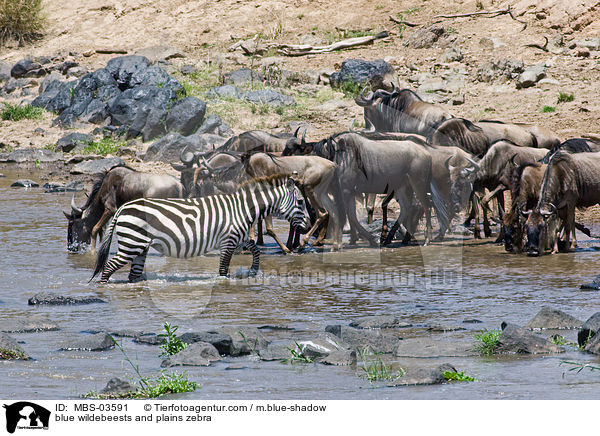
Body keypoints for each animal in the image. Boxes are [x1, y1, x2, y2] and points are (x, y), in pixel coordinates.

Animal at [94, 175, 312, 282]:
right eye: (301, 202)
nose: (309, 226)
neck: (242, 208)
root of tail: (122, 208)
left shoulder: (239, 238)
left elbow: (256, 250)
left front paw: (252, 271)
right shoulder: (228, 240)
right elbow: (223, 269)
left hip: (140, 247)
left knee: (133, 274)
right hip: (132, 243)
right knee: (108, 267)